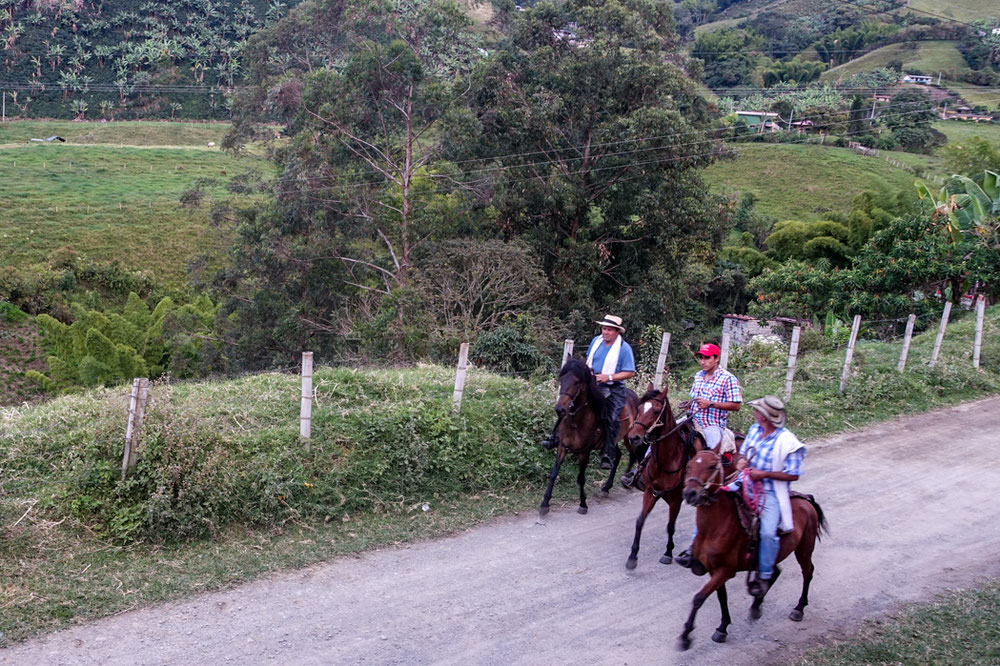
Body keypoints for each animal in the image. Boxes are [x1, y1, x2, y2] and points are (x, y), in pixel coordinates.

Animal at [540, 360, 640, 516]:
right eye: (561, 380)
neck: (576, 422)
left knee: (633, 455)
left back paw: (626, 480)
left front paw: (583, 504)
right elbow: (554, 473)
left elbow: (581, 478)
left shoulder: (584, 452)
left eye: (576, 382)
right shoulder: (562, 447)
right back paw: (606, 487)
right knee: (617, 456)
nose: (560, 409)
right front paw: (545, 504)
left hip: (628, 437)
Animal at [620, 386, 700, 568]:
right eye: (640, 408)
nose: (634, 437)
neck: (668, 460)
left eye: (657, 411)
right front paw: (632, 557)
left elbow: (670, 526)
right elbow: (640, 521)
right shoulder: (650, 492)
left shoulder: (676, 500)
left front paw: (668, 553)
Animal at [676, 446, 832, 648]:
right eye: (688, 466)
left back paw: (798, 609)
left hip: (804, 548)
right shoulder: (713, 570)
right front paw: (722, 628)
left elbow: (699, 598)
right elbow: (721, 597)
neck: (714, 527)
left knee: (807, 572)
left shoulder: (725, 570)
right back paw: (756, 606)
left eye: (712, 466)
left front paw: (686, 635)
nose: (690, 493)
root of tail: (806, 499)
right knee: (775, 572)